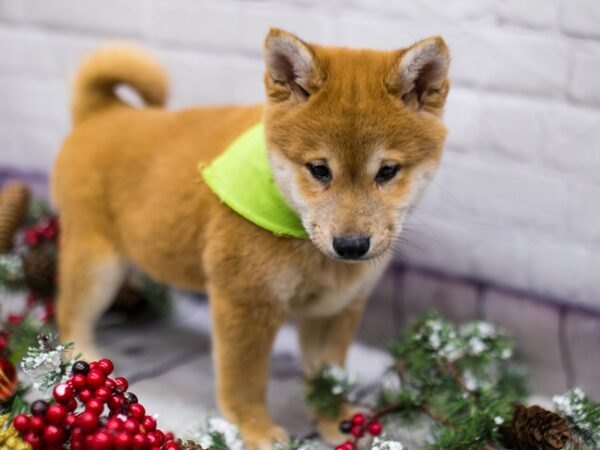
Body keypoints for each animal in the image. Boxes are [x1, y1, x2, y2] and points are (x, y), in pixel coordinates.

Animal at [52, 27, 450, 446]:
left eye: (387, 171)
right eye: (319, 170)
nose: (352, 246)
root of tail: (103, 113)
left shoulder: (335, 309)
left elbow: (327, 379)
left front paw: (336, 422)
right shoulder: (245, 301)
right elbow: (245, 382)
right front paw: (257, 430)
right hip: (97, 265)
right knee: (71, 317)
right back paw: (83, 364)